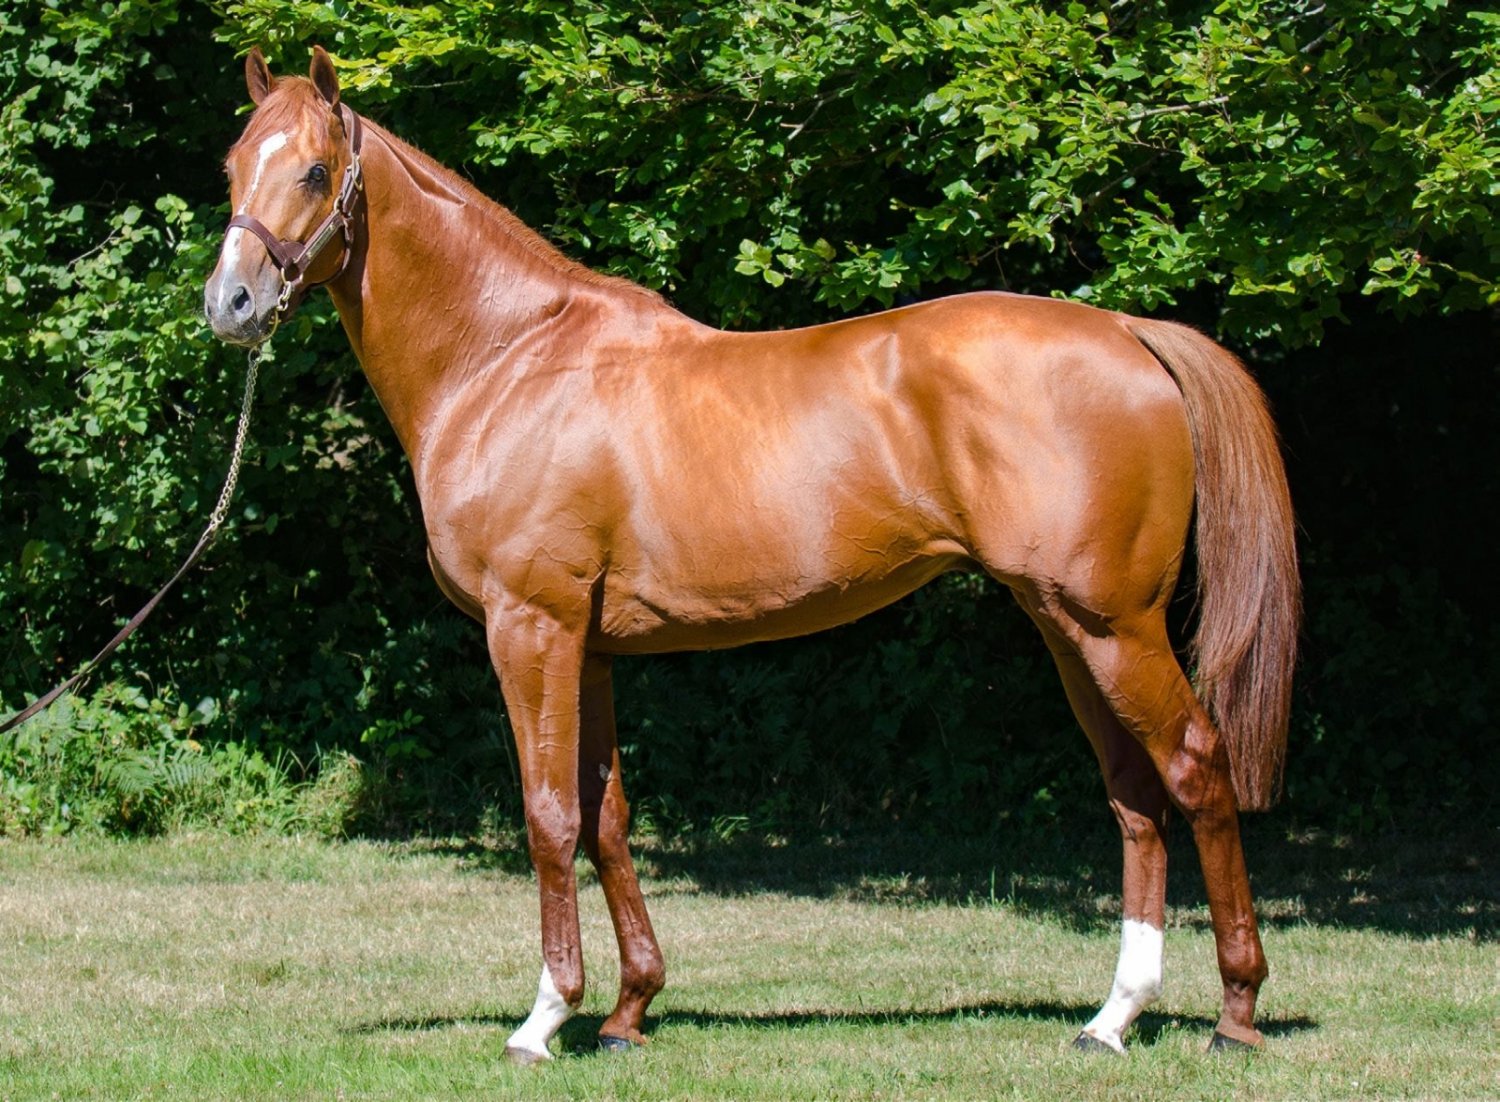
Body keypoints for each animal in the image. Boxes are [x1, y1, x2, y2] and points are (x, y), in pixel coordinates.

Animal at [204, 47, 1298, 1063]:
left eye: (313, 171)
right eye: (232, 165)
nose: (231, 303)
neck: (509, 361)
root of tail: (1124, 329)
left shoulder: (531, 629)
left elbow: (549, 815)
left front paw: (546, 1017)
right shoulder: (590, 648)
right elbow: (608, 817)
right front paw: (630, 1010)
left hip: (1114, 627)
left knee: (1195, 768)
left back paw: (1236, 1013)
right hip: (1069, 627)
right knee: (1133, 793)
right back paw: (1113, 1018)